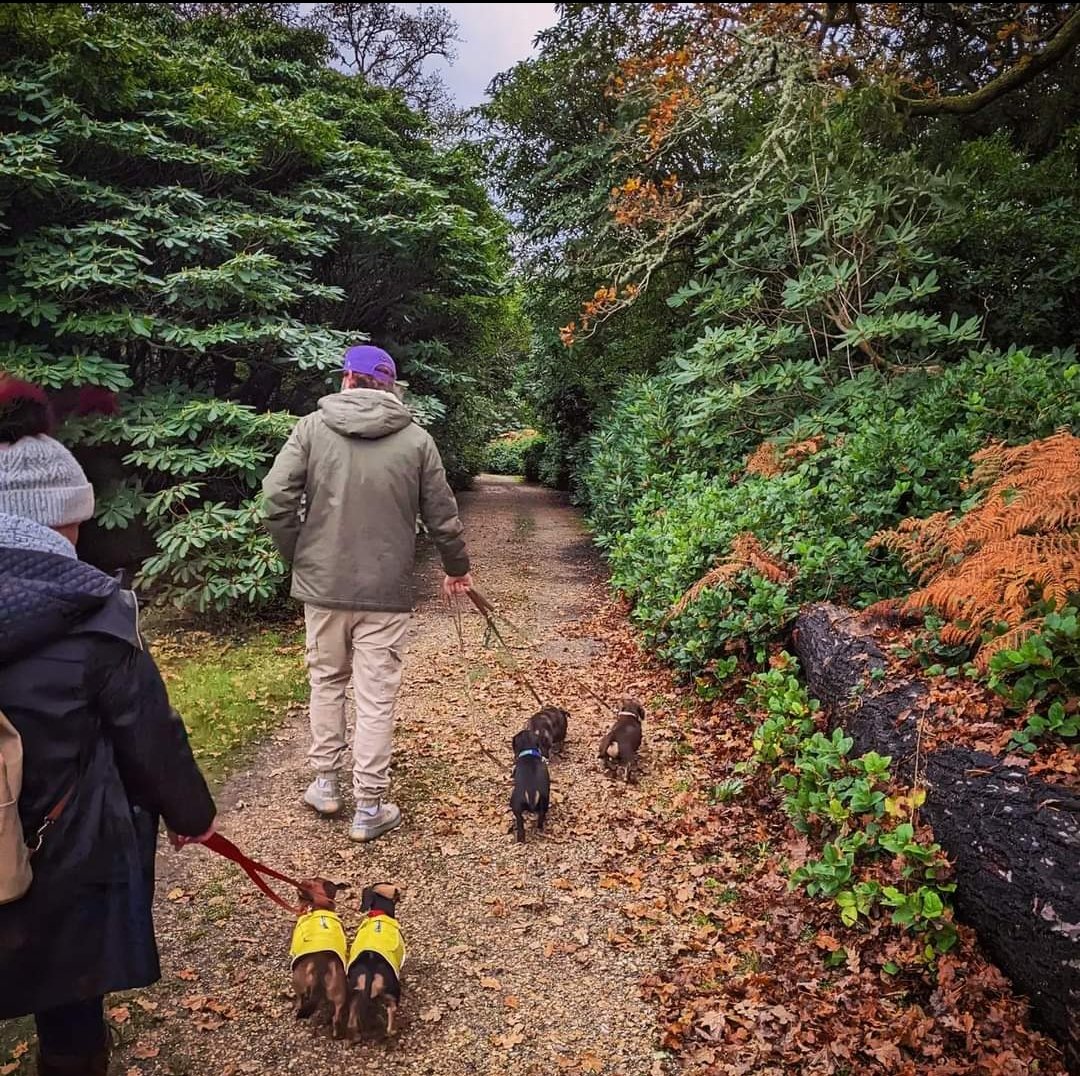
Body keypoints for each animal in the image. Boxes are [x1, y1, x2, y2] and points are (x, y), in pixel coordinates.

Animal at [289, 877, 347, 1037]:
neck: (318, 906)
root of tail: (321, 968)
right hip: (339, 993)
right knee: (336, 1016)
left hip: (297, 981)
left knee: (300, 997)